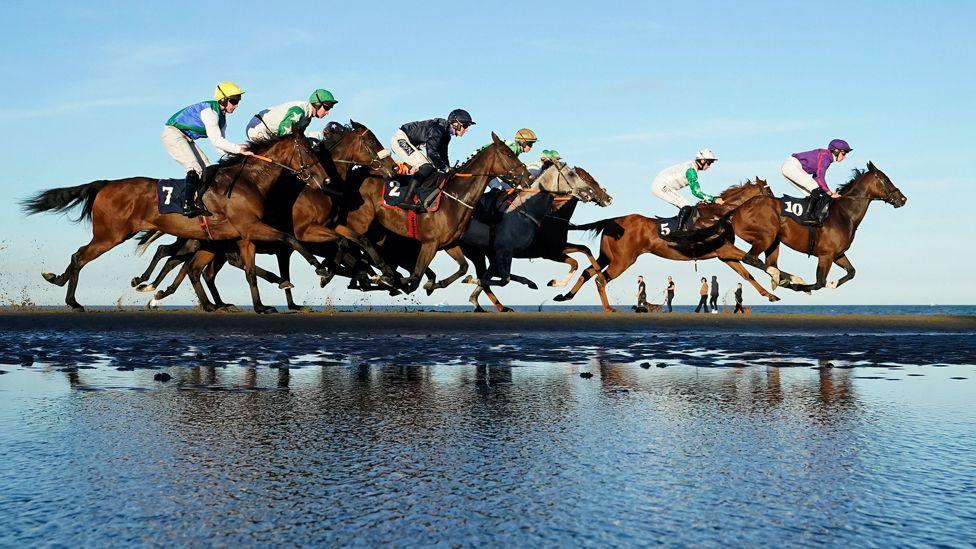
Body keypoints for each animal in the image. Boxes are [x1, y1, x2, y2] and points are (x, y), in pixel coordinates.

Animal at [20, 126, 328, 310]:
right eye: (308, 150)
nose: (324, 179)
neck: (249, 182)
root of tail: (106, 183)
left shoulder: (244, 236)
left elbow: (251, 271)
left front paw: (261, 306)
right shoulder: (251, 227)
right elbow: (289, 238)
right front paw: (320, 269)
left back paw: (58, 280)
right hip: (110, 234)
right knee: (80, 256)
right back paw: (73, 300)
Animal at [552, 179, 780, 310]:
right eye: (769, 193)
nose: (778, 205)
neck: (719, 216)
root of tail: (611, 220)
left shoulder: (724, 255)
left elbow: (747, 275)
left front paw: (770, 295)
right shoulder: (725, 250)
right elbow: (754, 261)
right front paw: (782, 278)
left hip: (607, 256)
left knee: (588, 272)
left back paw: (564, 296)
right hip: (623, 260)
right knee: (601, 280)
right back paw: (608, 309)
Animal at [728, 162, 904, 292]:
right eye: (886, 179)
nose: (903, 199)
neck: (844, 214)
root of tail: (737, 210)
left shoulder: (837, 254)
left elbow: (851, 272)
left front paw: (832, 284)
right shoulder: (826, 255)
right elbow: (819, 283)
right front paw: (800, 286)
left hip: (774, 243)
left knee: (767, 263)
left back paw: (780, 278)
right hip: (766, 236)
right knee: (750, 258)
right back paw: (785, 277)